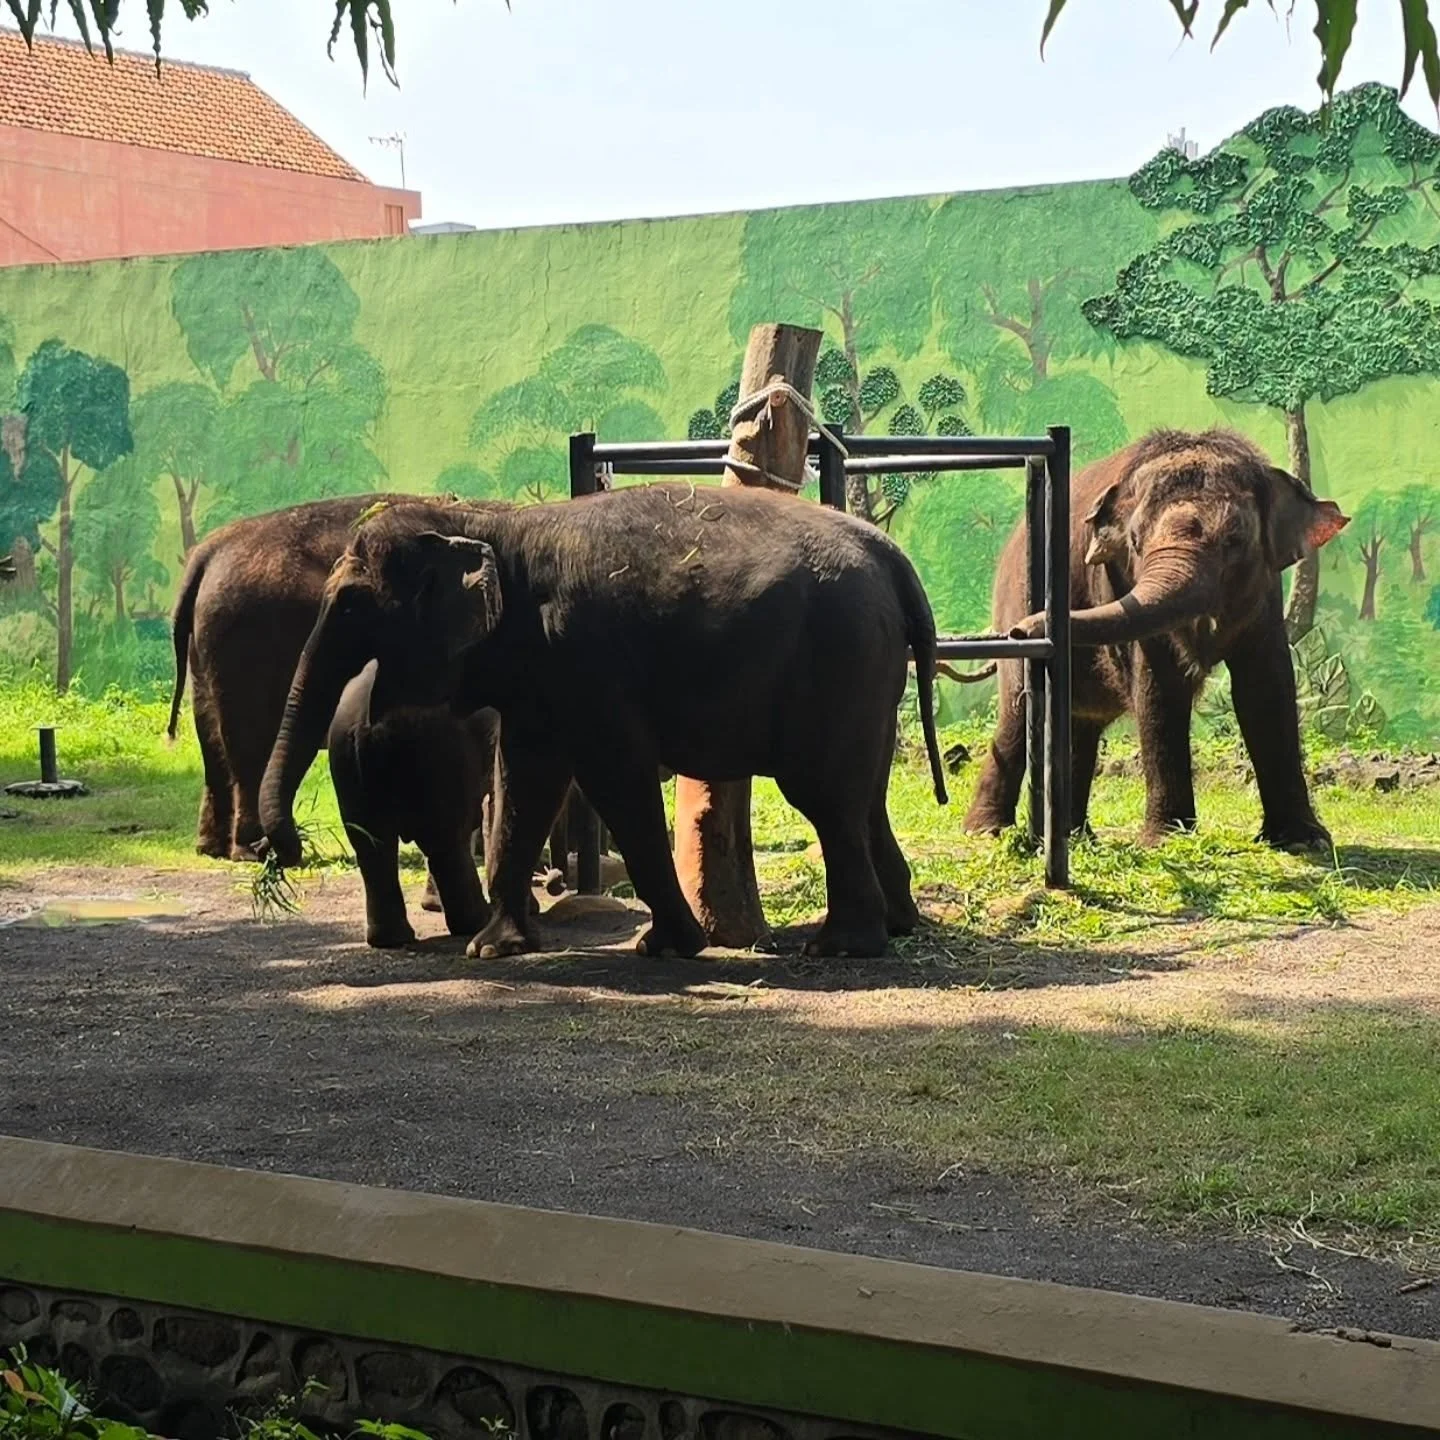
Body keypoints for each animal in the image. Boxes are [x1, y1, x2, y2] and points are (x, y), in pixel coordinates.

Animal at [328, 661, 499, 948]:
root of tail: (370, 722)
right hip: (438, 751)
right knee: (447, 840)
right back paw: (477, 922)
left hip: (344, 753)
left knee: (374, 845)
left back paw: (391, 939)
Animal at [964, 428, 1349, 848]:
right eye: (1133, 541)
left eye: (1235, 540)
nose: (1024, 629)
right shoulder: (1118, 584)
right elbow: (1159, 686)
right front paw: (1167, 840)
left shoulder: (1265, 592)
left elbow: (1265, 686)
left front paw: (1302, 841)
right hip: (1013, 597)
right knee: (1018, 715)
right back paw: (987, 831)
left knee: (1078, 722)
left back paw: (1078, 838)